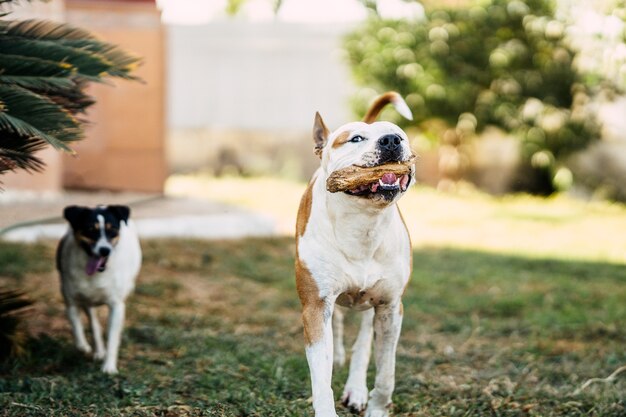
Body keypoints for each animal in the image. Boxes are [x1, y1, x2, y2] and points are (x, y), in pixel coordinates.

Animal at [56, 206, 141, 374]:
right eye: (90, 229)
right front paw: (84, 346)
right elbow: (77, 326)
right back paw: (98, 350)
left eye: (112, 230)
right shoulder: (71, 301)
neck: (96, 274)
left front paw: (109, 367)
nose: (105, 250)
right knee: (94, 323)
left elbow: (113, 337)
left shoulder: (116, 306)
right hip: (87, 302)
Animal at [294, 92, 412, 416]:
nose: (391, 140)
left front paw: (377, 407)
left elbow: (386, 371)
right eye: (355, 138)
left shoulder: (391, 307)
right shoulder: (316, 305)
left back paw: (356, 388)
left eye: (400, 134)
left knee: (364, 338)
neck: (363, 223)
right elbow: (321, 379)